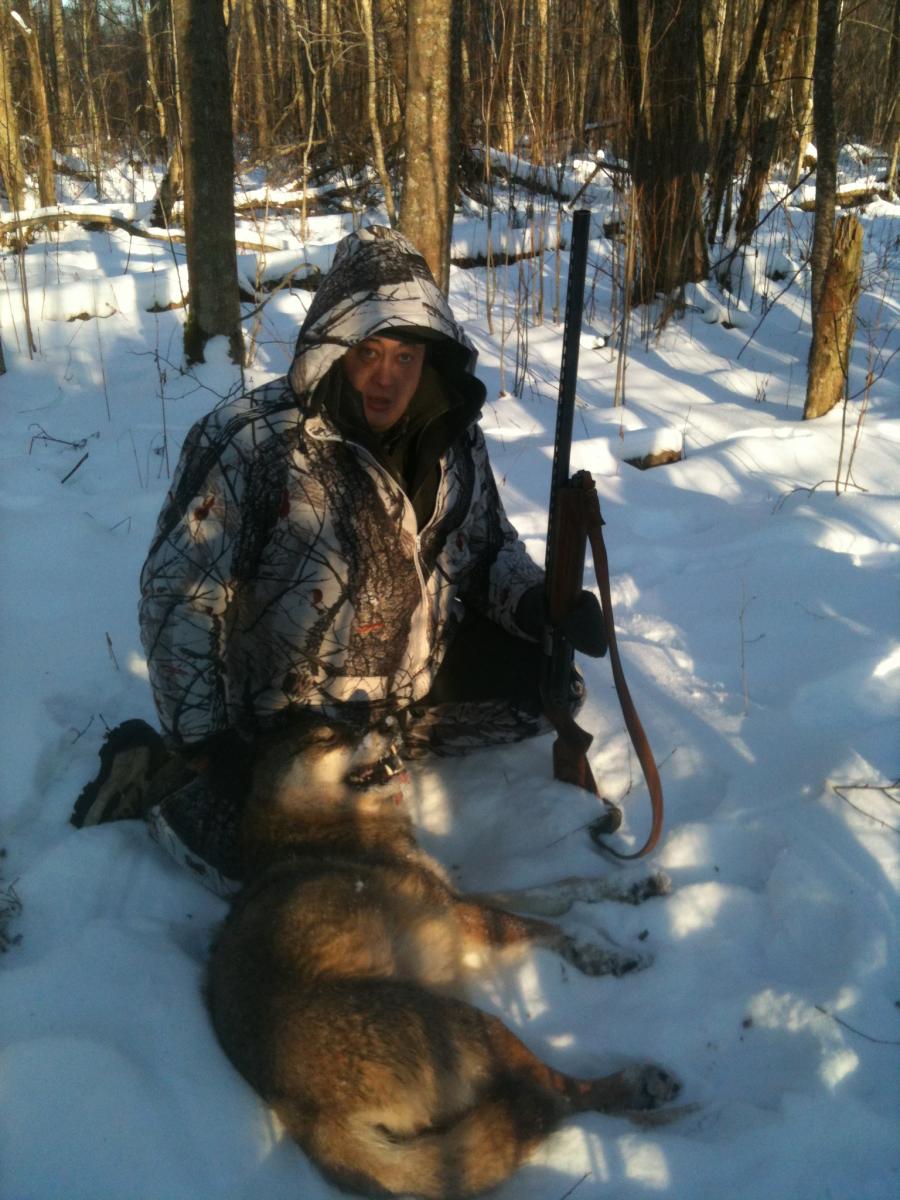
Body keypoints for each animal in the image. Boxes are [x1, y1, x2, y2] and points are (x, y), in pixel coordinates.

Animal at [206, 718, 681, 1198]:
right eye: (325, 737)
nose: (385, 722)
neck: (317, 822)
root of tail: (310, 1119)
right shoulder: (456, 911)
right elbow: (546, 924)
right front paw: (605, 952)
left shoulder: (453, 899)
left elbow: (559, 888)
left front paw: (633, 884)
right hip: (474, 1024)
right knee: (556, 1091)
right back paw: (641, 1089)